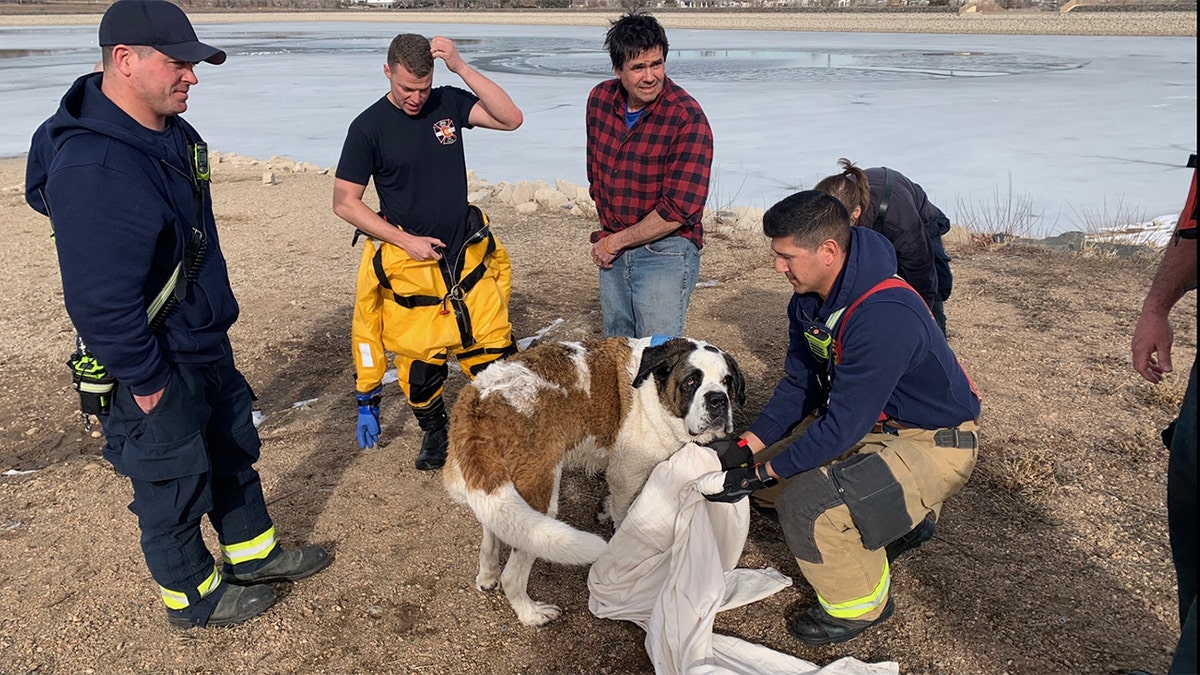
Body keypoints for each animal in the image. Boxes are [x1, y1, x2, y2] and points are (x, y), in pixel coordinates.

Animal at [441, 333, 739, 624]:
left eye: (727, 382)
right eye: (691, 381)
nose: (718, 400)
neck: (652, 392)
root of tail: (477, 402)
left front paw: (606, 510)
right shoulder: (626, 475)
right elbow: (626, 513)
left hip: (498, 488)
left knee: (491, 530)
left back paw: (488, 574)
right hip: (539, 499)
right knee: (513, 576)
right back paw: (531, 614)